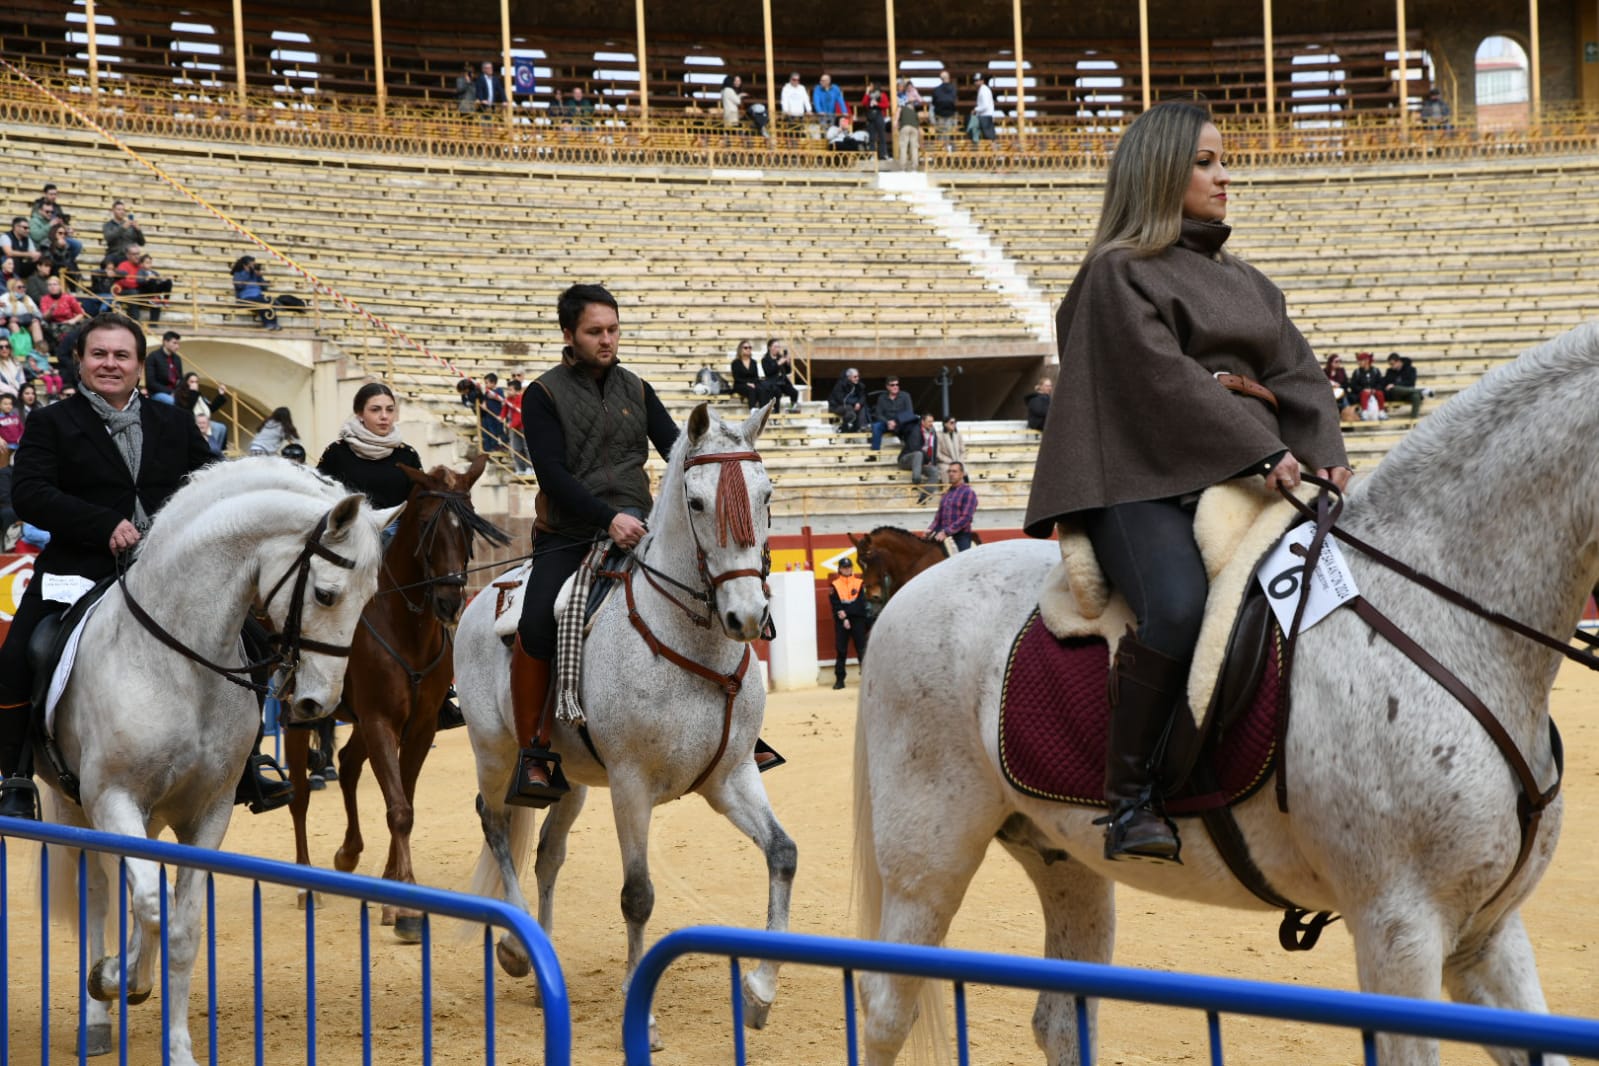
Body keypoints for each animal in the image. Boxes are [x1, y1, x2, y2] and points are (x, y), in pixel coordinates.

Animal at [42, 457, 398, 1066]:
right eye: (327, 595)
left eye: (370, 597)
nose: (317, 705)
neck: (180, 662)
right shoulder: (112, 799)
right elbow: (151, 905)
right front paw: (116, 979)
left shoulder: (208, 814)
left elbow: (181, 929)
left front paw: (176, 1044)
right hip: (78, 808)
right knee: (100, 892)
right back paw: (96, 1017)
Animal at [284, 453, 508, 939]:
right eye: (424, 523)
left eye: (468, 527)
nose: (449, 602)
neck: (407, 627)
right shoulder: (380, 720)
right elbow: (398, 809)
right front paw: (403, 909)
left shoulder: (418, 726)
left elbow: (404, 797)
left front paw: (393, 887)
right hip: (299, 715)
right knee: (300, 794)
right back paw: (305, 884)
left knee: (348, 764)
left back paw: (348, 853)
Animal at [457, 399, 793, 1042]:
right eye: (696, 503)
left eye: (766, 495)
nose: (746, 617)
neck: (690, 643)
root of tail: (488, 591)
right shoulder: (631, 785)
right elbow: (637, 894)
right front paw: (645, 1017)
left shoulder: (732, 776)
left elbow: (781, 853)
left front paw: (760, 992)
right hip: (493, 752)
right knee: (495, 824)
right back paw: (517, 950)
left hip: (569, 781)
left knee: (547, 852)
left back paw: (542, 955)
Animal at [850, 326, 1599, 1066]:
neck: (1438, 609)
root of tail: (914, 594)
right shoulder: (1398, 928)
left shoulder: (1485, 935)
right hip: (927, 857)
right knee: (886, 1010)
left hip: (1061, 855)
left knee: (1059, 1020)